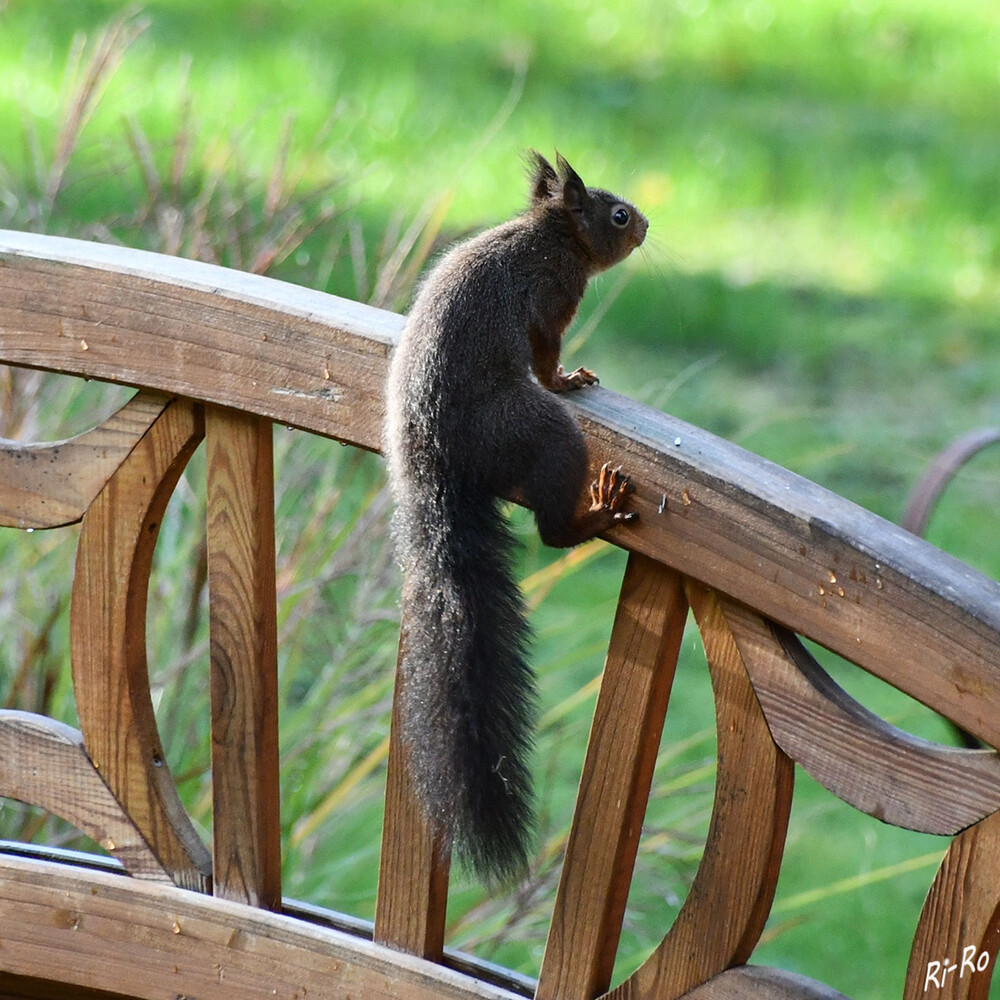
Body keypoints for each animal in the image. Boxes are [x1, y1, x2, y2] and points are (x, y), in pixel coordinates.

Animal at [382, 150, 648, 884]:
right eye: (618, 215)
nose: (647, 226)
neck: (548, 233)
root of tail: (432, 457)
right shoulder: (551, 298)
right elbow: (546, 350)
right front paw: (570, 378)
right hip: (538, 431)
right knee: (552, 529)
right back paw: (595, 511)